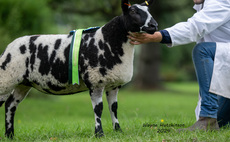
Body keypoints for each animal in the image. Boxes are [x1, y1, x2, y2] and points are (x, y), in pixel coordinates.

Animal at [0, 0, 157, 138]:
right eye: (133, 11)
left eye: (149, 10)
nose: (154, 25)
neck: (108, 41)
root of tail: (9, 47)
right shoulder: (95, 81)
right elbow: (98, 109)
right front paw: (99, 134)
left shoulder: (113, 84)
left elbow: (114, 108)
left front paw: (118, 131)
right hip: (6, 78)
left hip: (23, 83)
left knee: (10, 105)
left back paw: (10, 135)